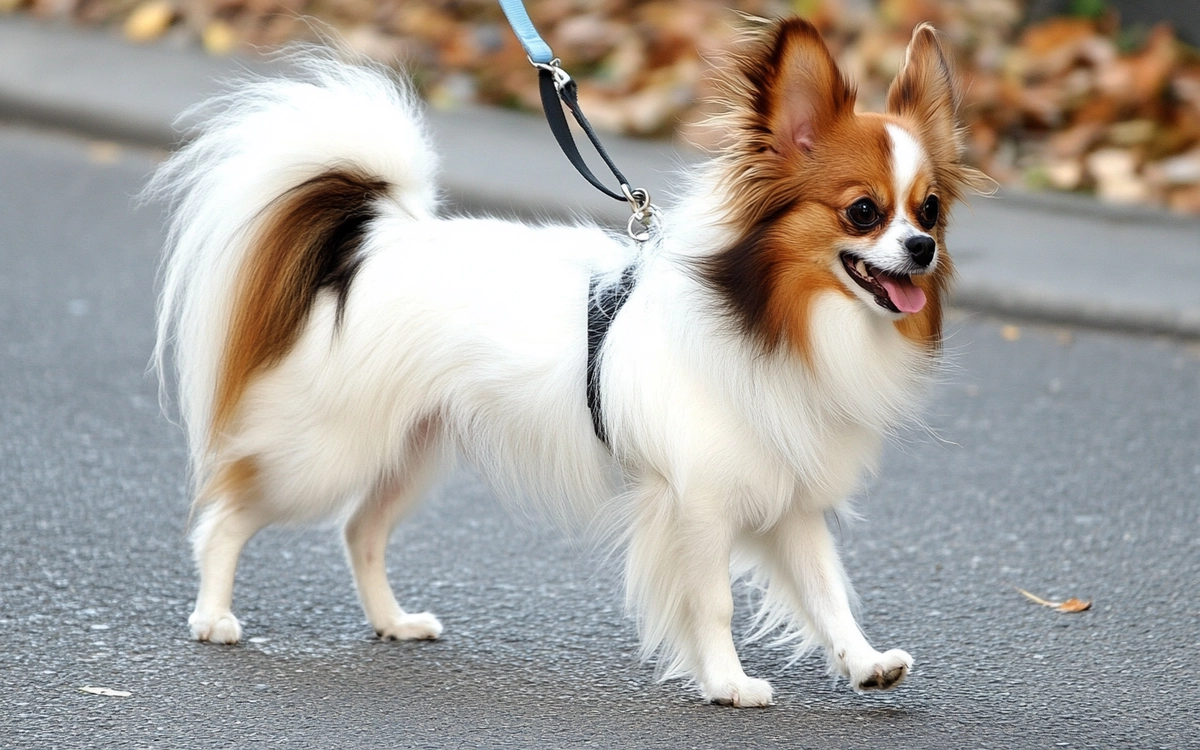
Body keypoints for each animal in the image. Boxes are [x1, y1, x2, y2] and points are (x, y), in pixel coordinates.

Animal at [152, 19, 984, 705]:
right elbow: (713, 601)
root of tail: (376, 241)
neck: (779, 321)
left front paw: (864, 662)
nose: (921, 248)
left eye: (931, 210)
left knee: (360, 530)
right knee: (228, 515)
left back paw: (393, 620)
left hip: (409, 449)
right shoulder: (699, 503)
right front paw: (728, 683)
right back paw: (213, 616)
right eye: (863, 212)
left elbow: (827, 592)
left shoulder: (790, 496)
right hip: (325, 453)